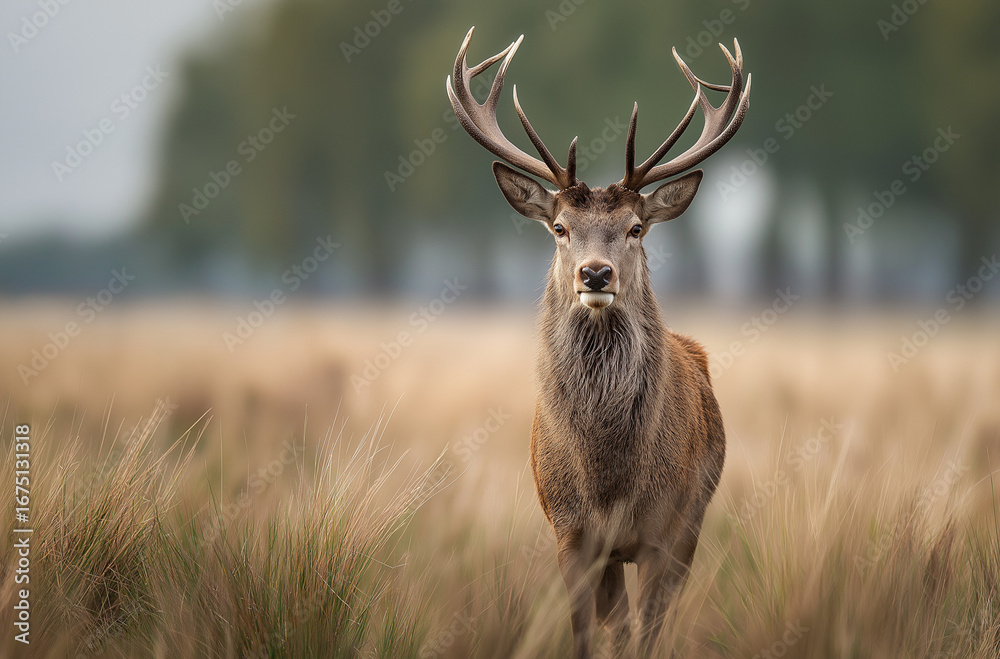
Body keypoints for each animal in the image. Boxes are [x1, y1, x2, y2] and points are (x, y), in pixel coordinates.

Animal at [447, 27, 750, 658]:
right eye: (560, 228)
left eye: (635, 228)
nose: (595, 274)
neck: (609, 478)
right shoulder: (571, 534)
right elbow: (588, 636)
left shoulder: (665, 532)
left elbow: (650, 636)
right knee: (620, 623)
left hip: (692, 523)